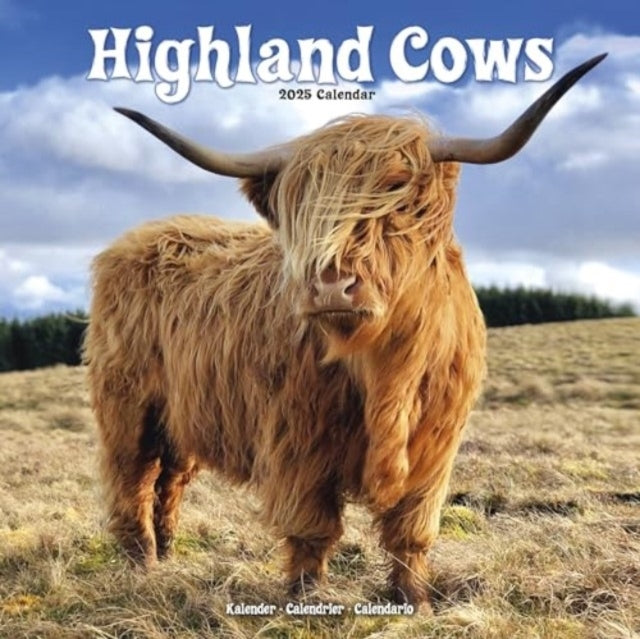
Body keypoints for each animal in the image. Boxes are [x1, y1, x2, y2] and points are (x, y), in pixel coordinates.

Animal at [83, 54, 605, 612]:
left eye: (397, 194)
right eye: (303, 205)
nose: (332, 285)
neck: (385, 371)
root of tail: (139, 237)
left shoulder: (436, 449)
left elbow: (411, 530)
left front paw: (414, 600)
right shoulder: (297, 442)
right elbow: (312, 527)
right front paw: (306, 598)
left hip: (182, 415)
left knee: (170, 480)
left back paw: (167, 551)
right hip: (129, 405)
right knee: (134, 477)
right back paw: (142, 565)